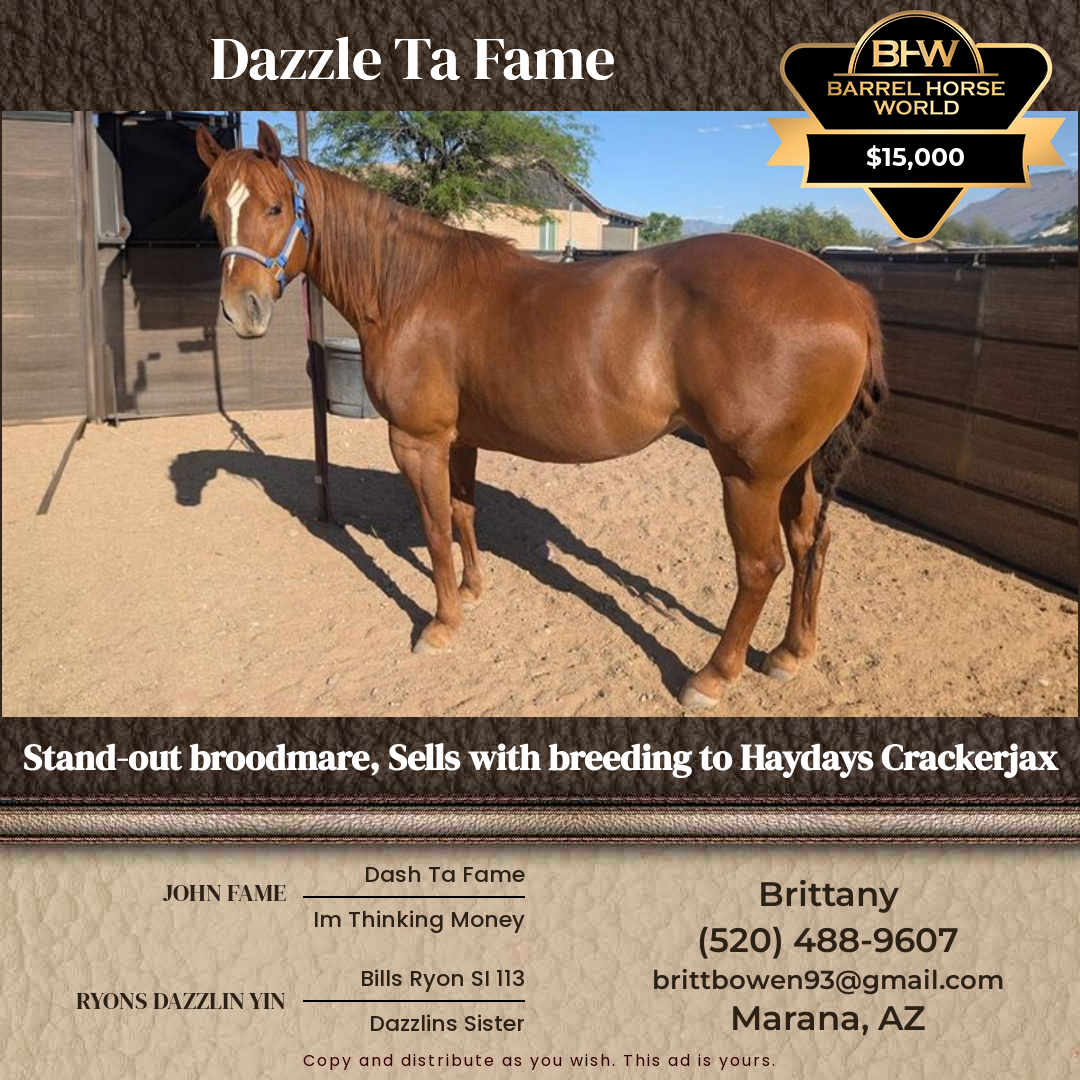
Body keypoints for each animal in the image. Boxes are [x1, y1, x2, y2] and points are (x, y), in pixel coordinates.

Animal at [196, 120, 886, 709]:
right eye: (212, 212)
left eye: (275, 208)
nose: (242, 310)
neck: (411, 289)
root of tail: (845, 293)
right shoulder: (459, 440)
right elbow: (462, 514)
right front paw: (471, 591)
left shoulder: (417, 441)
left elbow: (435, 532)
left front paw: (441, 625)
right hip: (793, 468)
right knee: (810, 540)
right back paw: (792, 652)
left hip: (749, 475)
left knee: (760, 565)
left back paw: (712, 676)